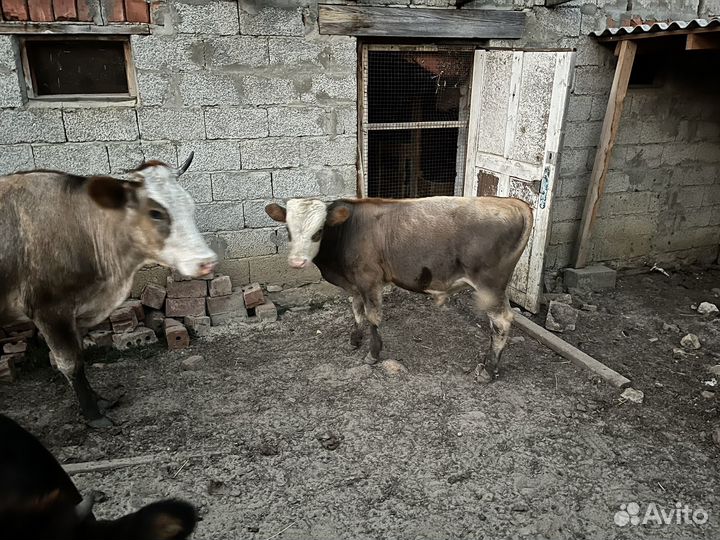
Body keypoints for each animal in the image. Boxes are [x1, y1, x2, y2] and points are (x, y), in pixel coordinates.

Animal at [0, 154, 217, 427]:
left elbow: (81, 358)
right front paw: (94, 416)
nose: (207, 261)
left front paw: (100, 401)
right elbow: (70, 363)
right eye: (155, 213)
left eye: (189, 206)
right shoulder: (50, 311)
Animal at [265, 196, 532, 382]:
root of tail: (513, 203)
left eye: (318, 232)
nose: (297, 262)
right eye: (288, 230)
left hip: (490, 285)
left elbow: (373, 316)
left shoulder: (369, 280)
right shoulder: (354, 284)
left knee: (501, 322)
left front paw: (373, 354)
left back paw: (489, 370)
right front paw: (355, 339)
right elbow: (356, 310)